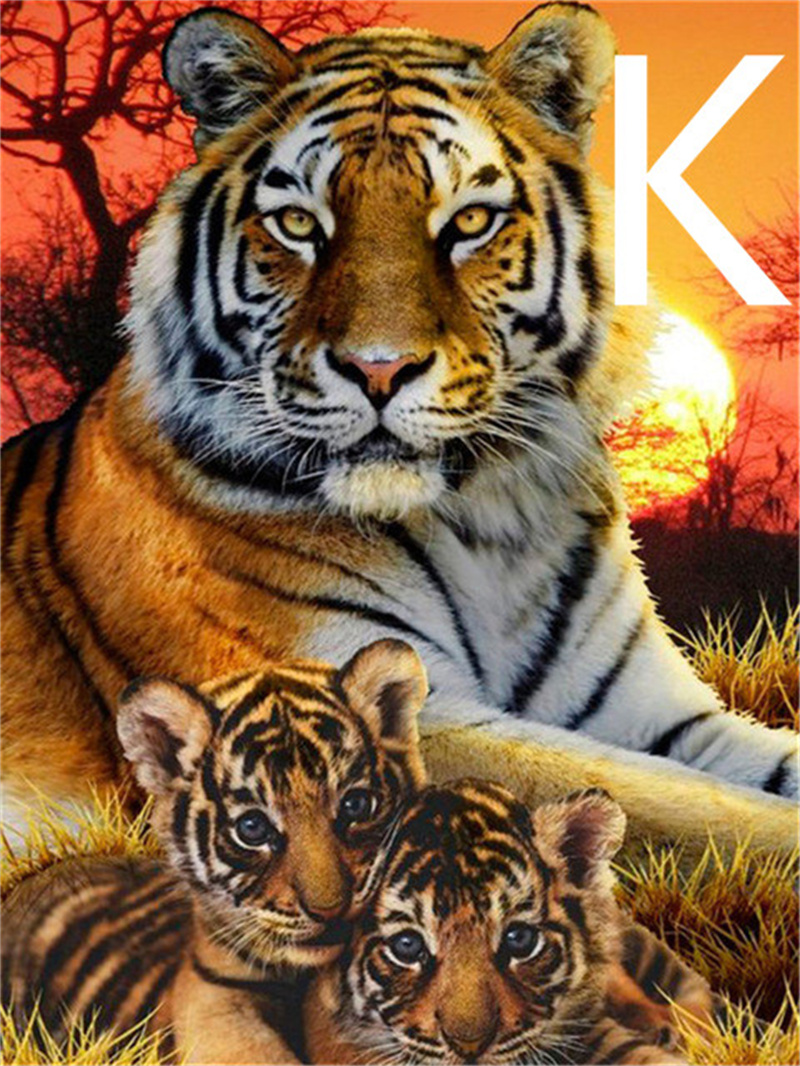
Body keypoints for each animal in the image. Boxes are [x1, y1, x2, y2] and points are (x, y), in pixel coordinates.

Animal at [2, 4, 796, 846]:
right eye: (297, 224)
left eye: (470, 221)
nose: (378, 369)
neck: (491, 524)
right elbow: (692, 807)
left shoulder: (654, 711)